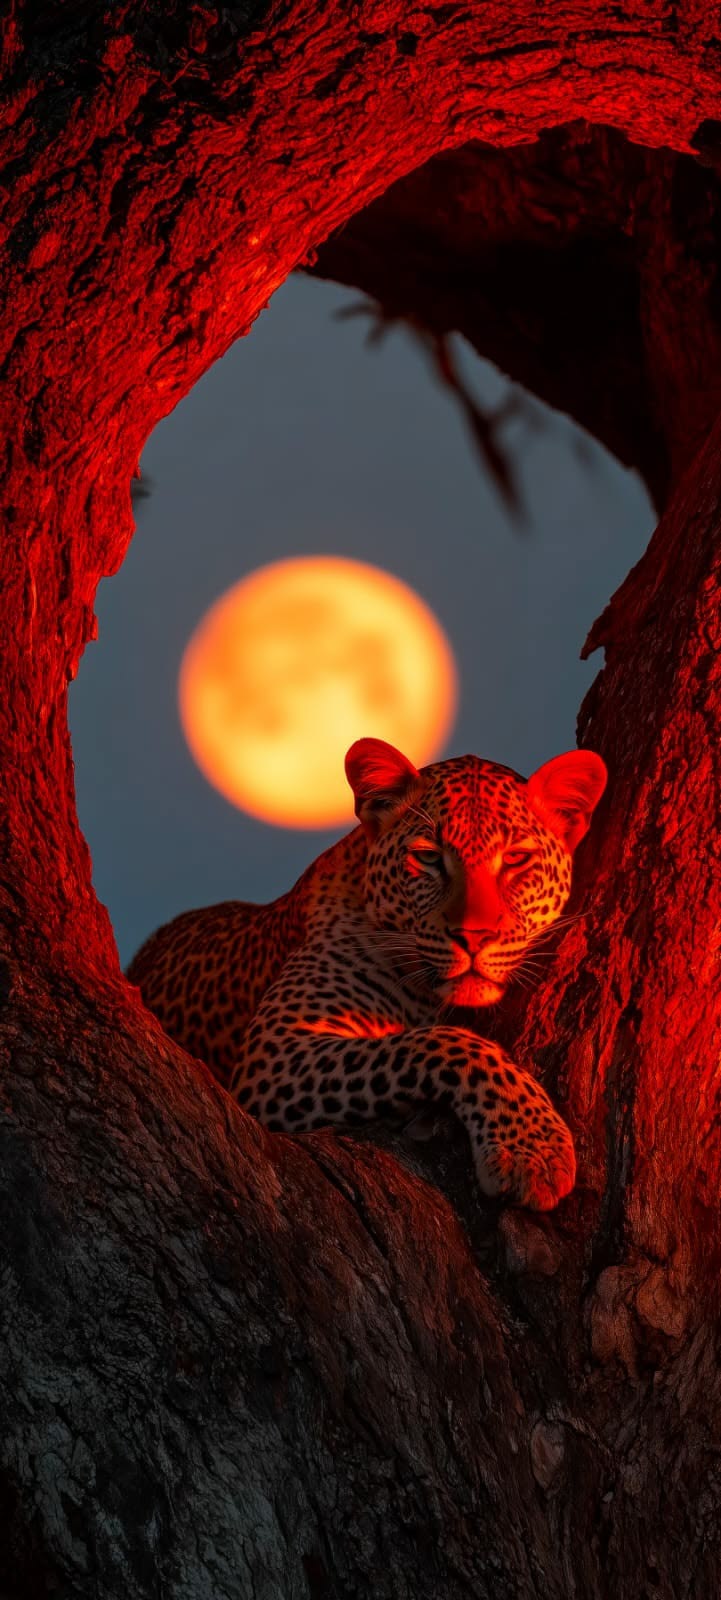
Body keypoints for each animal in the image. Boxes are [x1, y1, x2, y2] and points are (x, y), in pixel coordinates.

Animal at [128, 738, 606, 1210]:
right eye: (428, 858)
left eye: (517, 859)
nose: (474, 936)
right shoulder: (274, 1055)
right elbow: (440, 1042)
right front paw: (534, 1147)